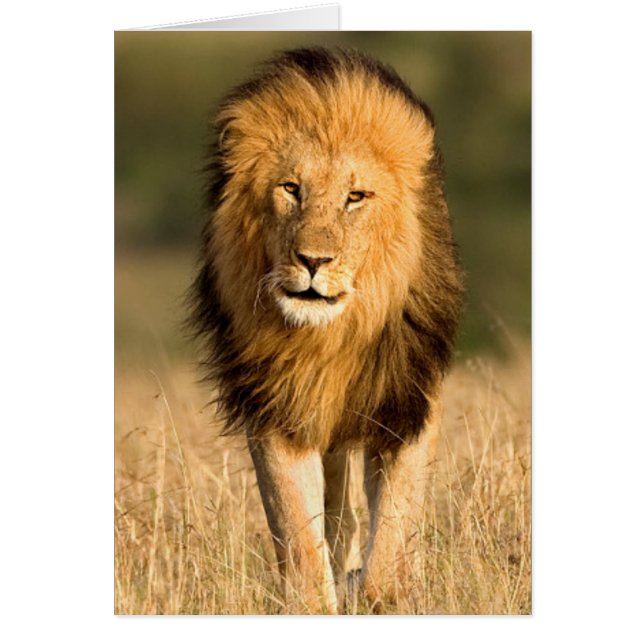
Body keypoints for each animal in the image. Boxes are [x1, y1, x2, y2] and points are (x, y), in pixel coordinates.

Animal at [189, 47, 463, 614]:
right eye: (291, 189)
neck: (331, 338)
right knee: (339, 516)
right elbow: (297, 528)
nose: (313, 261)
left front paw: (376, 590)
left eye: (355, 197)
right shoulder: (277, 404)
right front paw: (318, 599)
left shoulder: (407, 399)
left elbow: (395, 533)